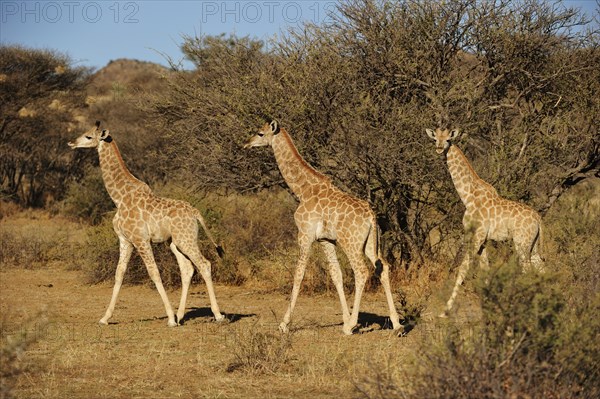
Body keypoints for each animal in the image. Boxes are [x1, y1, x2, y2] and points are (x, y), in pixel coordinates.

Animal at [68, 122, 226, 328]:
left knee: (204, 264)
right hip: (175, 243)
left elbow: (154, 272)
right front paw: (104, 318)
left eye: (88, 136)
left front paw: (170, 318)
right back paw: (181, 315)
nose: (71, 142)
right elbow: (119, 274)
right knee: (187, 268)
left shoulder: (140, 240)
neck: (119, 197)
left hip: (186, 239)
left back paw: (217, 315)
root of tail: (195, 212)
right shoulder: (125, 240)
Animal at [244, 120, 404, 336]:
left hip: (351, 243)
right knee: (383, 267)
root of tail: (371, 216)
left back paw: (352, 325)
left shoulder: (304, 235)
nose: (247, 144)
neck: (303, 190)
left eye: (260, 133)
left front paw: (284, 324)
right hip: (371, 243)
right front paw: (345, 318)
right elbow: (336, 273)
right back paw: (396, 324)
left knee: (361, 271)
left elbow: (299, 274)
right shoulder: (325, 240)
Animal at [424, 126, 548, 318]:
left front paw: (445, 310)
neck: (468, 196)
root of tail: (539, 219)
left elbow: (463, 268)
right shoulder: (484, 240)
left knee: (528, 270)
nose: (438, 148)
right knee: (542, 268)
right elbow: (486, 271)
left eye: (448, 140)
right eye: (435, 139)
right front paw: (490, 307)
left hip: (521, 243)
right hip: (533, 244)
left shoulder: (477, 235)